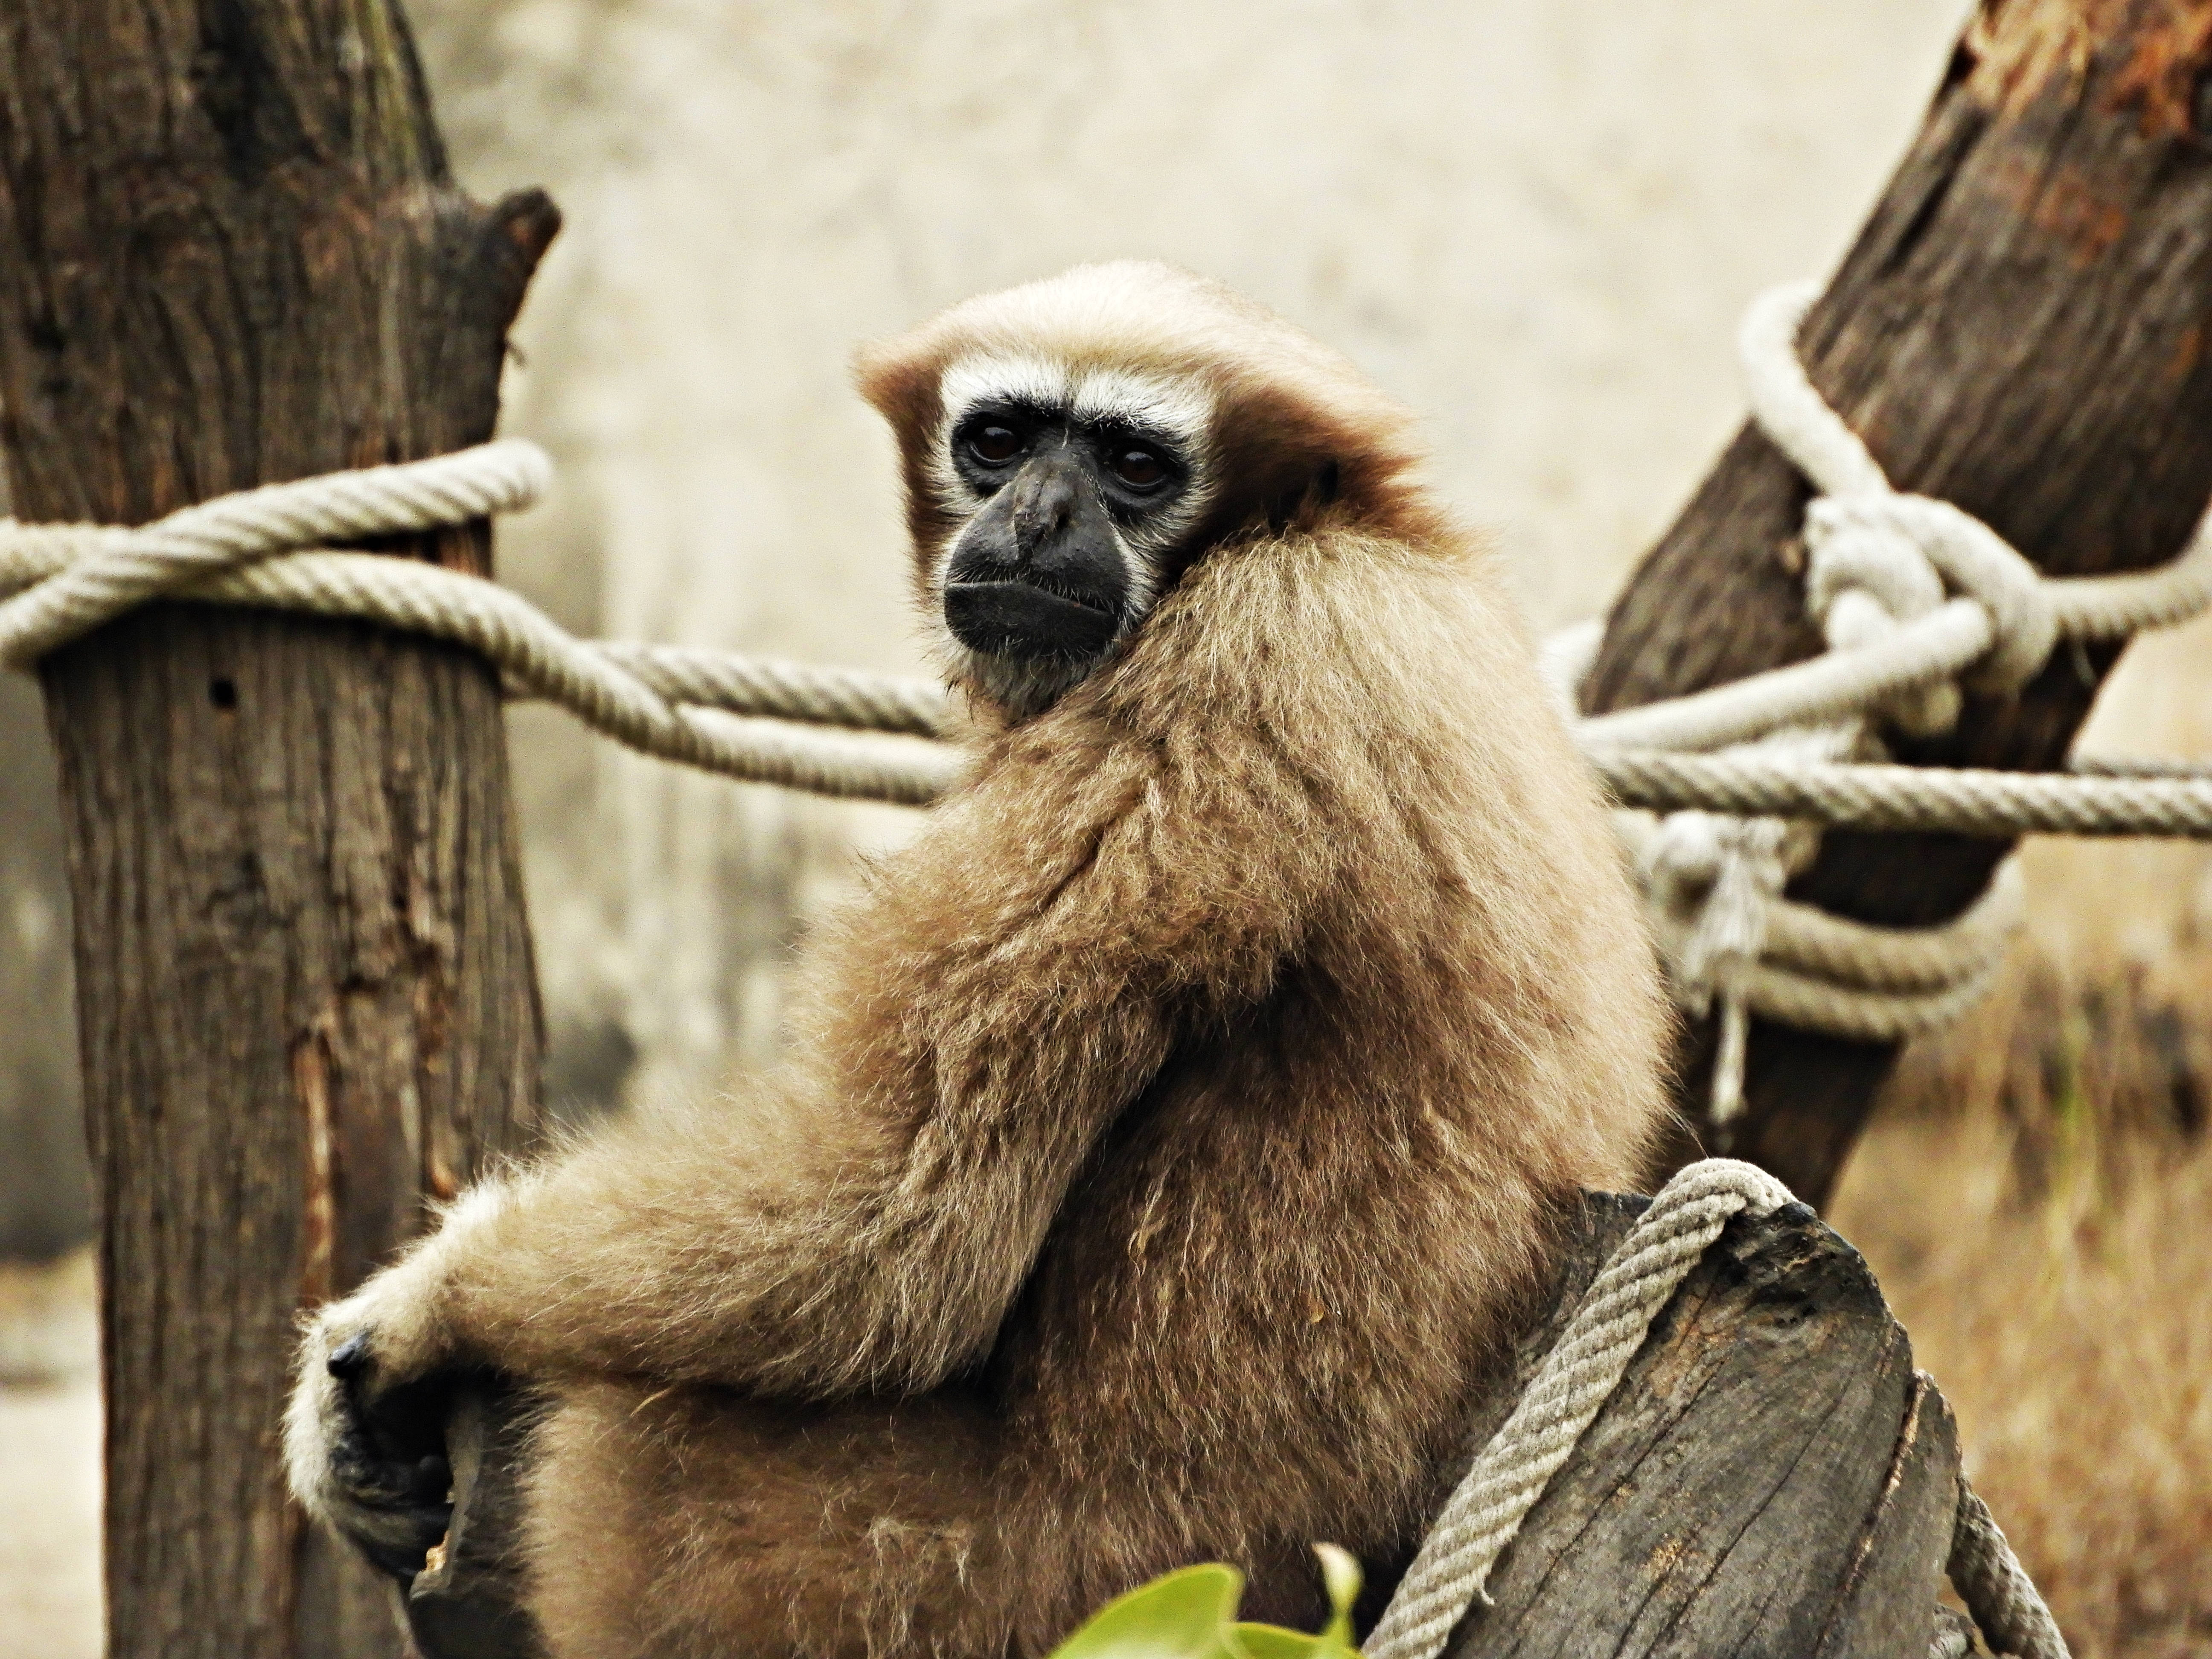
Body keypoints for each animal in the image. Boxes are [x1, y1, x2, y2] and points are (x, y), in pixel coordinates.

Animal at [286, 259, 1671, 1659]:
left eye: (1132, 463)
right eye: (999, 440)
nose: (1041, 513)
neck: (1345, 543)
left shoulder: (1234, 672)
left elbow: (891, 1226)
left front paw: (417, 1313)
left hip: (1027, 1590)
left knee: (629, 1444)